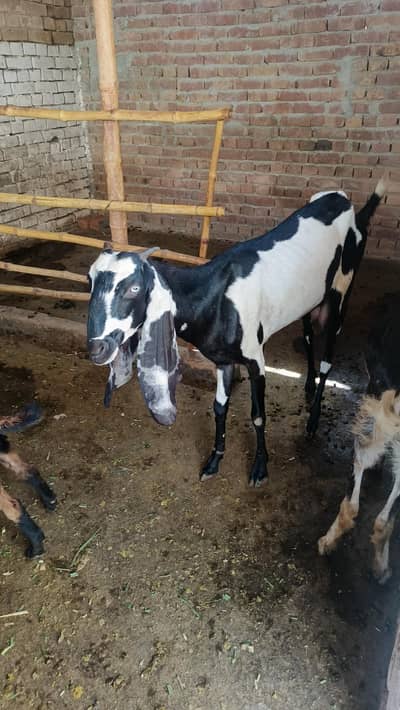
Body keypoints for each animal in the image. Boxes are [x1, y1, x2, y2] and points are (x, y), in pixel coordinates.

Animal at [86, 179, 385, 486]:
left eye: (134, 288)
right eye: (89, 280)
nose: (97, 347)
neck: (217, 296)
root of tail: (347, 203)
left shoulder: (255, 358)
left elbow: (258, 415)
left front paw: (260, 468)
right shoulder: (222, 359)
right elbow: (219, 407)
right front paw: (214, 461)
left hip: (341, 290)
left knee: (328, 358)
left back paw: (313, 421)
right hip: (309, 298)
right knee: (308, 336)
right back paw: (309, 385)